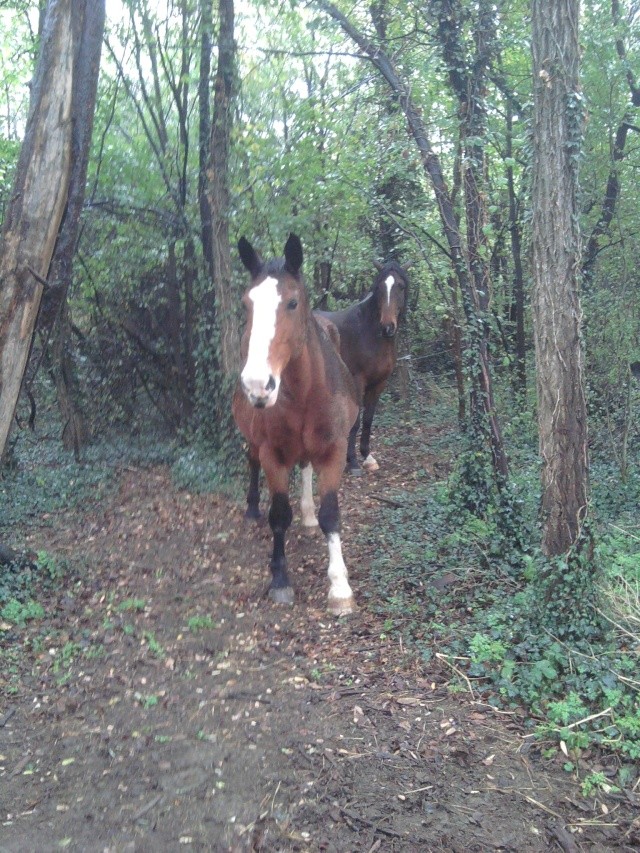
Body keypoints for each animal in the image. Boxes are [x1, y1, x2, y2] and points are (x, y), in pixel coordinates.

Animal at [232, 236, 360, 616]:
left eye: (292, 302)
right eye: (247, 303)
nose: (257, 385)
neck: (305, 392)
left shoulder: (335, 450)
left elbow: (331, 515)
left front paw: (340, 588)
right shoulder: (272, 454)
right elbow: (278, 515)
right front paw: (280, 578)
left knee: (304, 467)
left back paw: (307, 514)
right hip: (253, 440)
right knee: (252, 461)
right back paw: (252, 509)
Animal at [316, 260, 410, 472]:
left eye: (400, 286)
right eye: (379, 288)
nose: (387, 327)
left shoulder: (379, 383)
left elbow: (368, 419)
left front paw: (367, 455)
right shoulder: (358, 381)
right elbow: (356, 421)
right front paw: (352, 461)